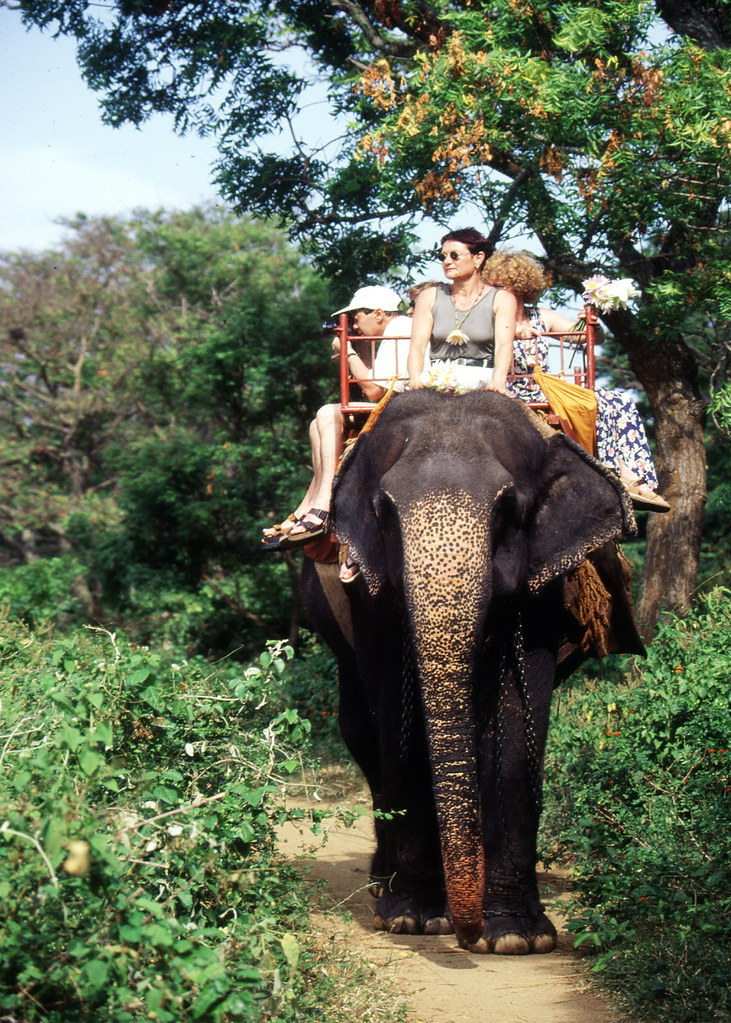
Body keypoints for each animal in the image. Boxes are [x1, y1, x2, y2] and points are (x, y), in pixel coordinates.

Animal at [301, 389, 644, 955]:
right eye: (383, 512)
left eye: (509, 511)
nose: (468, 936)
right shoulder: (367, 585)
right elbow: (395, 714)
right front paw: (413, 919)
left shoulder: (546, 584)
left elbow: (519, 716)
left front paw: (515, 938)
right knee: (360, 728)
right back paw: (383, 884)